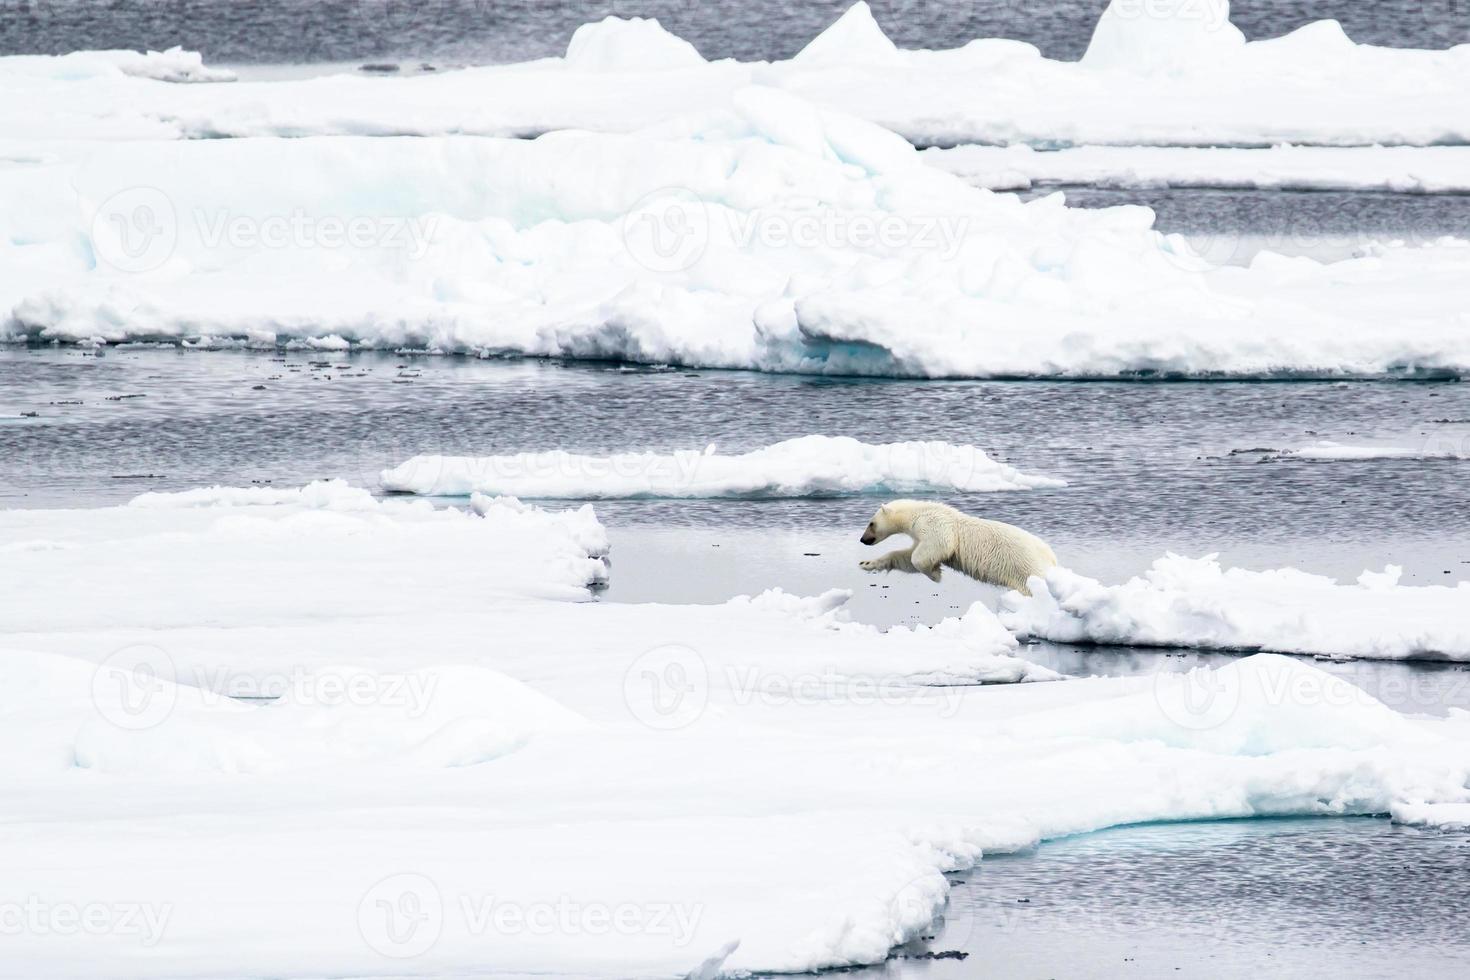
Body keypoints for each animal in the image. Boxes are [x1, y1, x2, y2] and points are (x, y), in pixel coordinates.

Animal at [858, 502, 1058, 593]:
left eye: (871, 523)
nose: (862, 539)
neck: (918, 512)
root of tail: (1052, 557)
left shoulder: (936, 526)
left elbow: (927, 551)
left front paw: (935, 575)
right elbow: (905, 557)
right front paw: (866, 563)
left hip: (1025, 568)